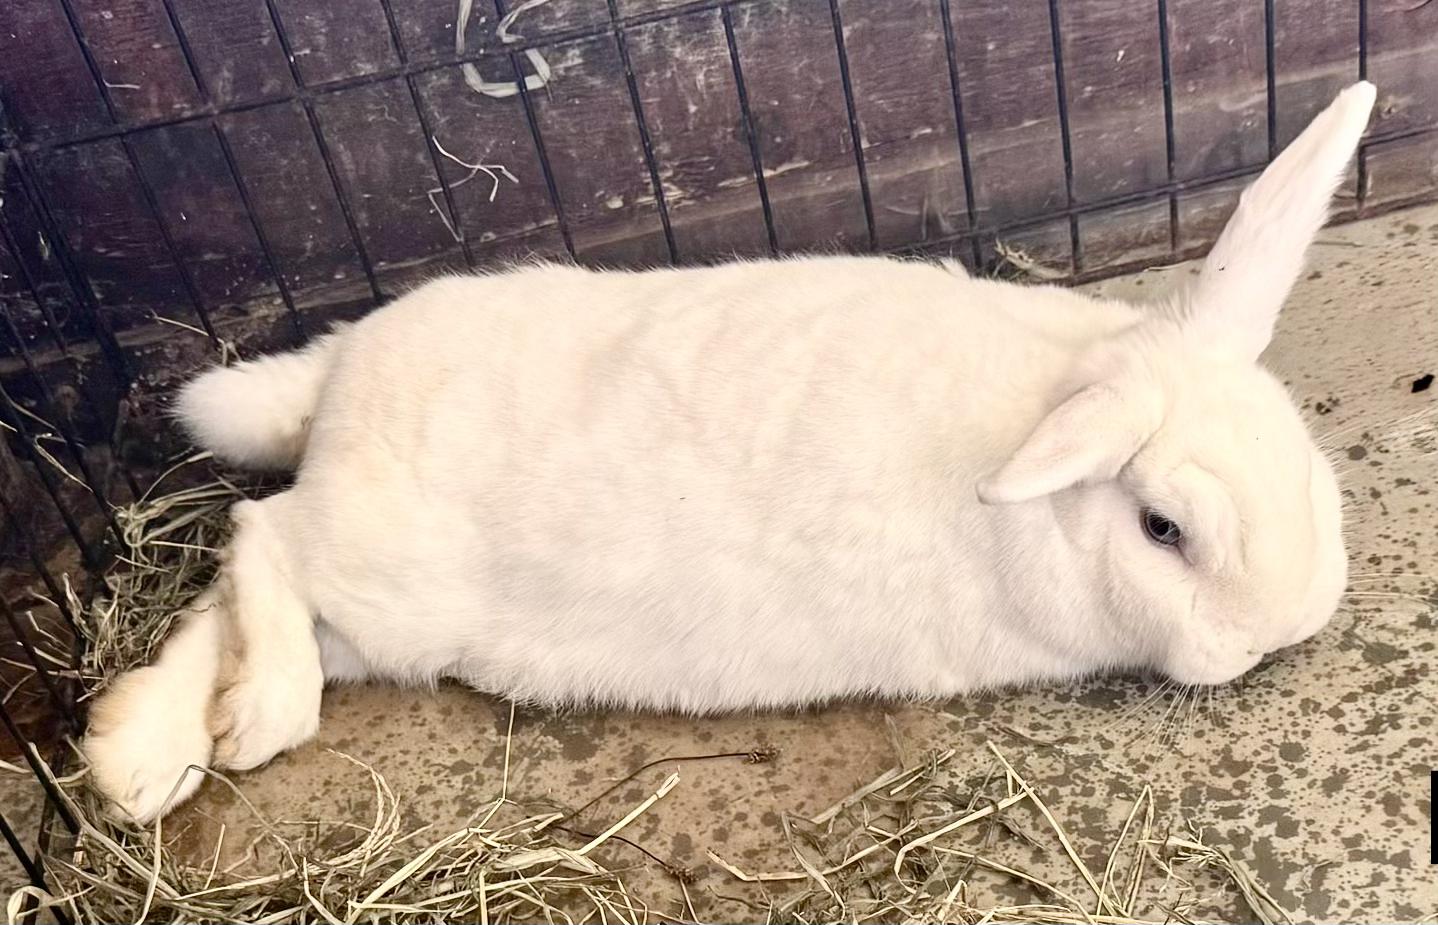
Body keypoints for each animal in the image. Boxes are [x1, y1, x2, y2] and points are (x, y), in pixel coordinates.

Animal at [82, 82, 1374, 824]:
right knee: (262, 537)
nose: (1273, 633)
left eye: (1305, 460)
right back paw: (257, 720)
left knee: (222, 603)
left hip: (377, 611)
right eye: (1163, 530)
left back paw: (139, 758)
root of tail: (344, 370)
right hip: (389, 572)